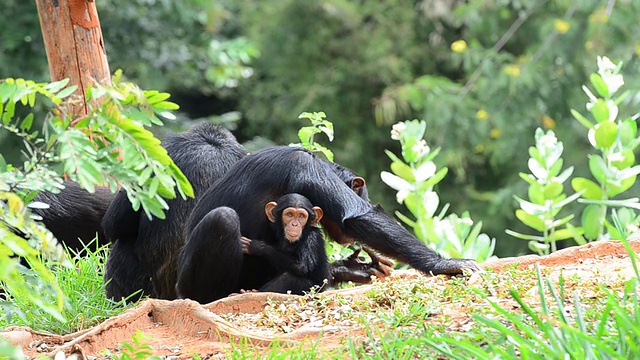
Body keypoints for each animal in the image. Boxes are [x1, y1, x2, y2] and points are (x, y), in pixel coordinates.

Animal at [178, 145, 478, 302]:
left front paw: (352, 268)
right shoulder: (308, 170)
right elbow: (357, 216)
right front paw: (445, 264)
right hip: (187, 287)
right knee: (223, 219)